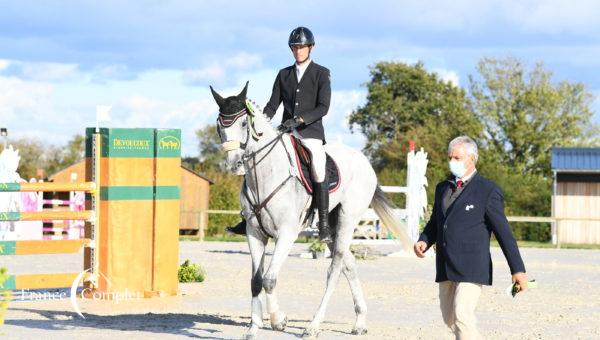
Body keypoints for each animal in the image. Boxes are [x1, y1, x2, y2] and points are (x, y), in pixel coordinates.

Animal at [211, 83, 412, 340]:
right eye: (220, 125)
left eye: (245, 124)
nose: (235, 164)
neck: (265, 173)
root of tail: (365, 162)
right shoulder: (254, 234)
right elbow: (256, 281)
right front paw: (253, 328)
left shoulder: (286, 234)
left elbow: (269, 279)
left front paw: (279, 321)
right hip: (333, 229)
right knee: (348, 263)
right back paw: (359, 321)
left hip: (347, 220)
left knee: (334, 269)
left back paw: (313, 326)